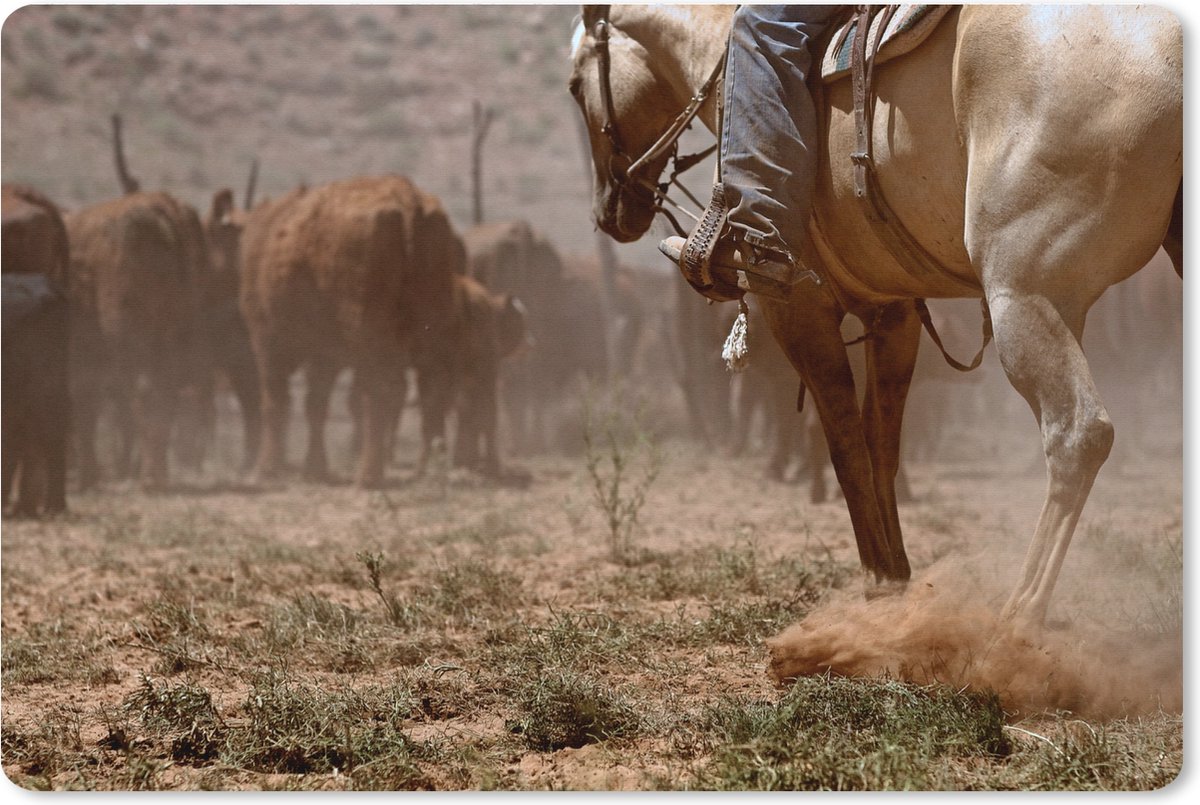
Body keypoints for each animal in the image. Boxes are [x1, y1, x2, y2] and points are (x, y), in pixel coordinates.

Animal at [567, 4, 1182, 633]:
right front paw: (897, 579)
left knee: (1078, 434)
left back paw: (1018, 618)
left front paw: (877, 585)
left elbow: (843, 444)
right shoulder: (893, 312)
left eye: (574, 85)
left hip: (1027, 291)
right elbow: (881, 444)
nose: (608, 210)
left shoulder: (797, 310)